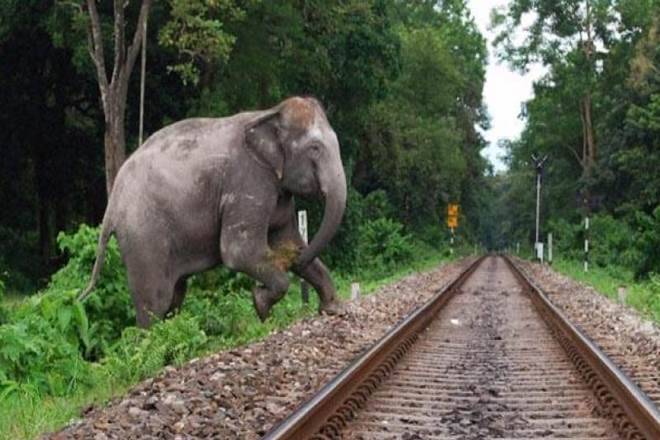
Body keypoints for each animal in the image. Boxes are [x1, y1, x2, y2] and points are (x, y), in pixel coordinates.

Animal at [79, 96, 347, 327]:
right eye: (314, 148)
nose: (291, 260)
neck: (270, 112)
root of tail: (112, 204)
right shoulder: (247, 182)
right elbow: (238, 251)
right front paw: (261, 304)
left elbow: (287, 239)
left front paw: (335, 310)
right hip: (143, 234)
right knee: (156, 300)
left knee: (175, 295)